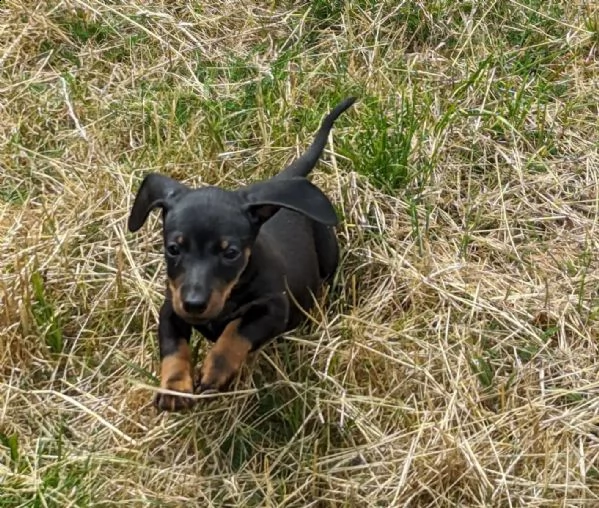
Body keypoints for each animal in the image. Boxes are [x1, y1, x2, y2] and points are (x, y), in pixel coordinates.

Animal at [129, 97, 354, 410]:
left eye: (231, 253)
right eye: (173, 249)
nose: (194, 304)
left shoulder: (274, 309)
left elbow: (236, 331)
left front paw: (215, 370)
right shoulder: (171, 309)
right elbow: (173, 348)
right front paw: (174, 388)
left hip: (328, 253)